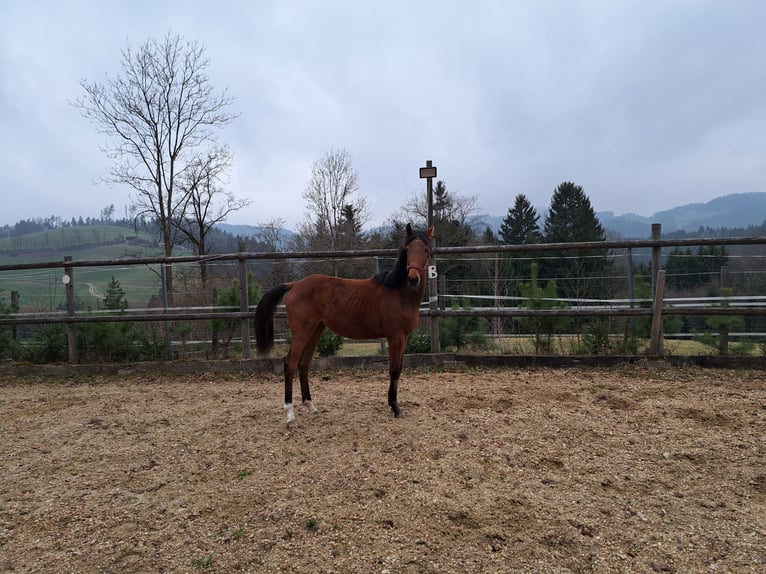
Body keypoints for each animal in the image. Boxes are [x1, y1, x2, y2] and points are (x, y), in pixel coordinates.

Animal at [254, 223, 434, 424]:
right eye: (408, 249)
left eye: (426, 250)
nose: (413, 278)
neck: (400, 293)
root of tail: (294, 284)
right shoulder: (395, 336)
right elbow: (394, 370)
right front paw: (396, 408)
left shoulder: (404, 337)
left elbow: (399, 368)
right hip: (301, 332)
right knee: (290, 364)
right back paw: (290, 413)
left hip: (315, 330)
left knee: (304, 364)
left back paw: (311, 406)